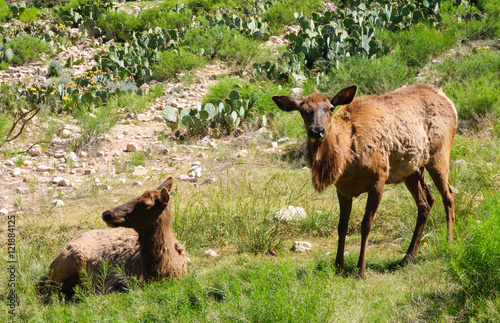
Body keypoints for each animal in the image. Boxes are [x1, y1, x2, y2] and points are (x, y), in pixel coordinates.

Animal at [274, 85, 458, 278]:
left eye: (330, 108)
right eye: (302, 110)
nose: (317, 131)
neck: (346, 159)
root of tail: (449, 103)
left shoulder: (379, 179)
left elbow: (366, 225)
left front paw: (361, 270)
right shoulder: (343, 189)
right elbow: (342, 226)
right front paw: (338, 266)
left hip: (439, 154)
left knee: (448, 195)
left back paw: (449, 242)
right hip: (412, 169)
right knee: (426, 201)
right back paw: (409, 256)